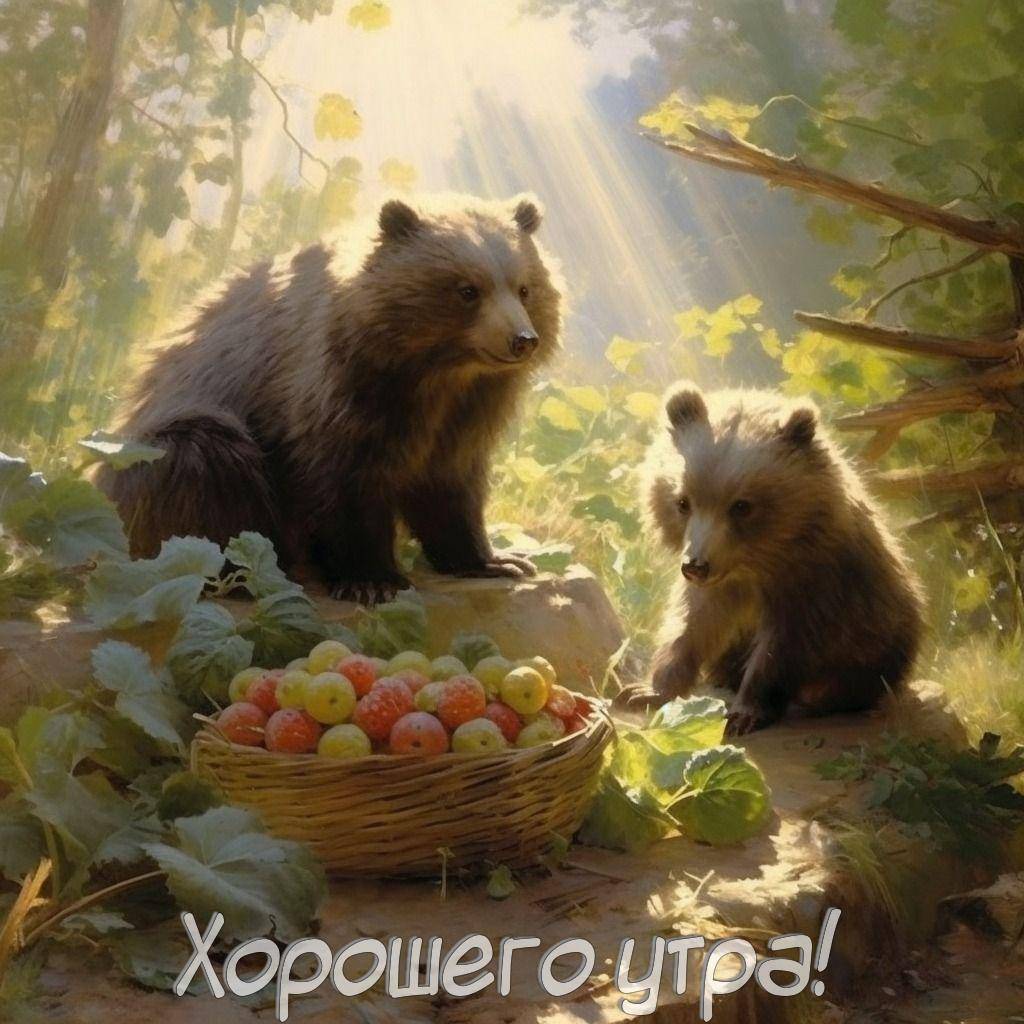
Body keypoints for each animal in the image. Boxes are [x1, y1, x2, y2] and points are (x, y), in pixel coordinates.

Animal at [97, 193, 562, 603]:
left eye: (524, 288)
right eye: (467, 290)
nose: (523, 340)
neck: (435, 373)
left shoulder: (468, 410)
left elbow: (451, 479)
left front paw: (499, 561)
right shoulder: (336, 390)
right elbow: (344, 478)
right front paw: (372, 580)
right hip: (155, 453)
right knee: (206, 465)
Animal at [621, 381, 925, 736]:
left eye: (741, 505)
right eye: (683, 501)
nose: (695, 566)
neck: (756, 564)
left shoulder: (813, 581)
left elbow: (783, 646)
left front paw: (745, 713)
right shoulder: (720, 583)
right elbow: (692, 623)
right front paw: (646, 691)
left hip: (879, 641)